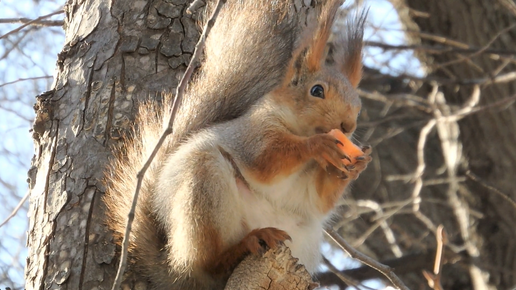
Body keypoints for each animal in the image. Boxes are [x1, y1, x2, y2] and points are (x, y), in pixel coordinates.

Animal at [104, 0, 370, 290]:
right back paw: (244, 245)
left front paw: (356, 165)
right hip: (202, 189)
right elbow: (268, 160)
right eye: (317, 90)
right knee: (207, 264)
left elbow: (319, 200)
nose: (348, 125)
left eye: (358, 104)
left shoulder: (310, 188)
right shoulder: (251, 135)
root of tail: (172, 269)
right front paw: (319, 144)